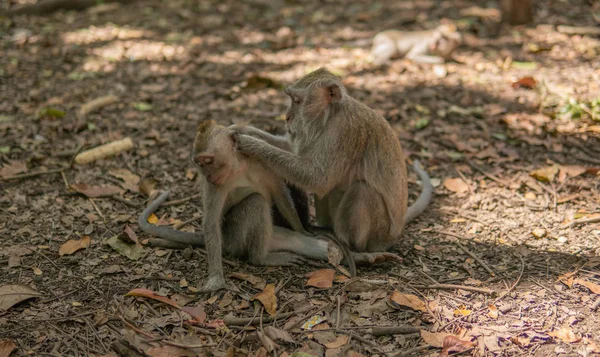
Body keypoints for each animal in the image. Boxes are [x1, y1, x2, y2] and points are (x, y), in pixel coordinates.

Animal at [139, 120, 356, 292]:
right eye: (199, 164)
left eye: (207, 161)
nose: (206, 174)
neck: (238, 166)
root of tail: (226, 239)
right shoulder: (216, 185)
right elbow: (211, 222)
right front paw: (216, 279)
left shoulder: (260, 163)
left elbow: (280, 195)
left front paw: (303, 230)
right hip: (234, 239)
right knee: (255, 202)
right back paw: (260, 258)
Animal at [232, 67, 434, 262]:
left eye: (297, 101)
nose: (287, 117)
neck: (330, 116)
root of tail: (396, 232)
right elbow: (295, 152)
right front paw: (245, 130)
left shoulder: (345, 132)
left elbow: (319, 179)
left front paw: (252, 145)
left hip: (380, 235)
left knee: (362, 190)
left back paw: (353, 250)